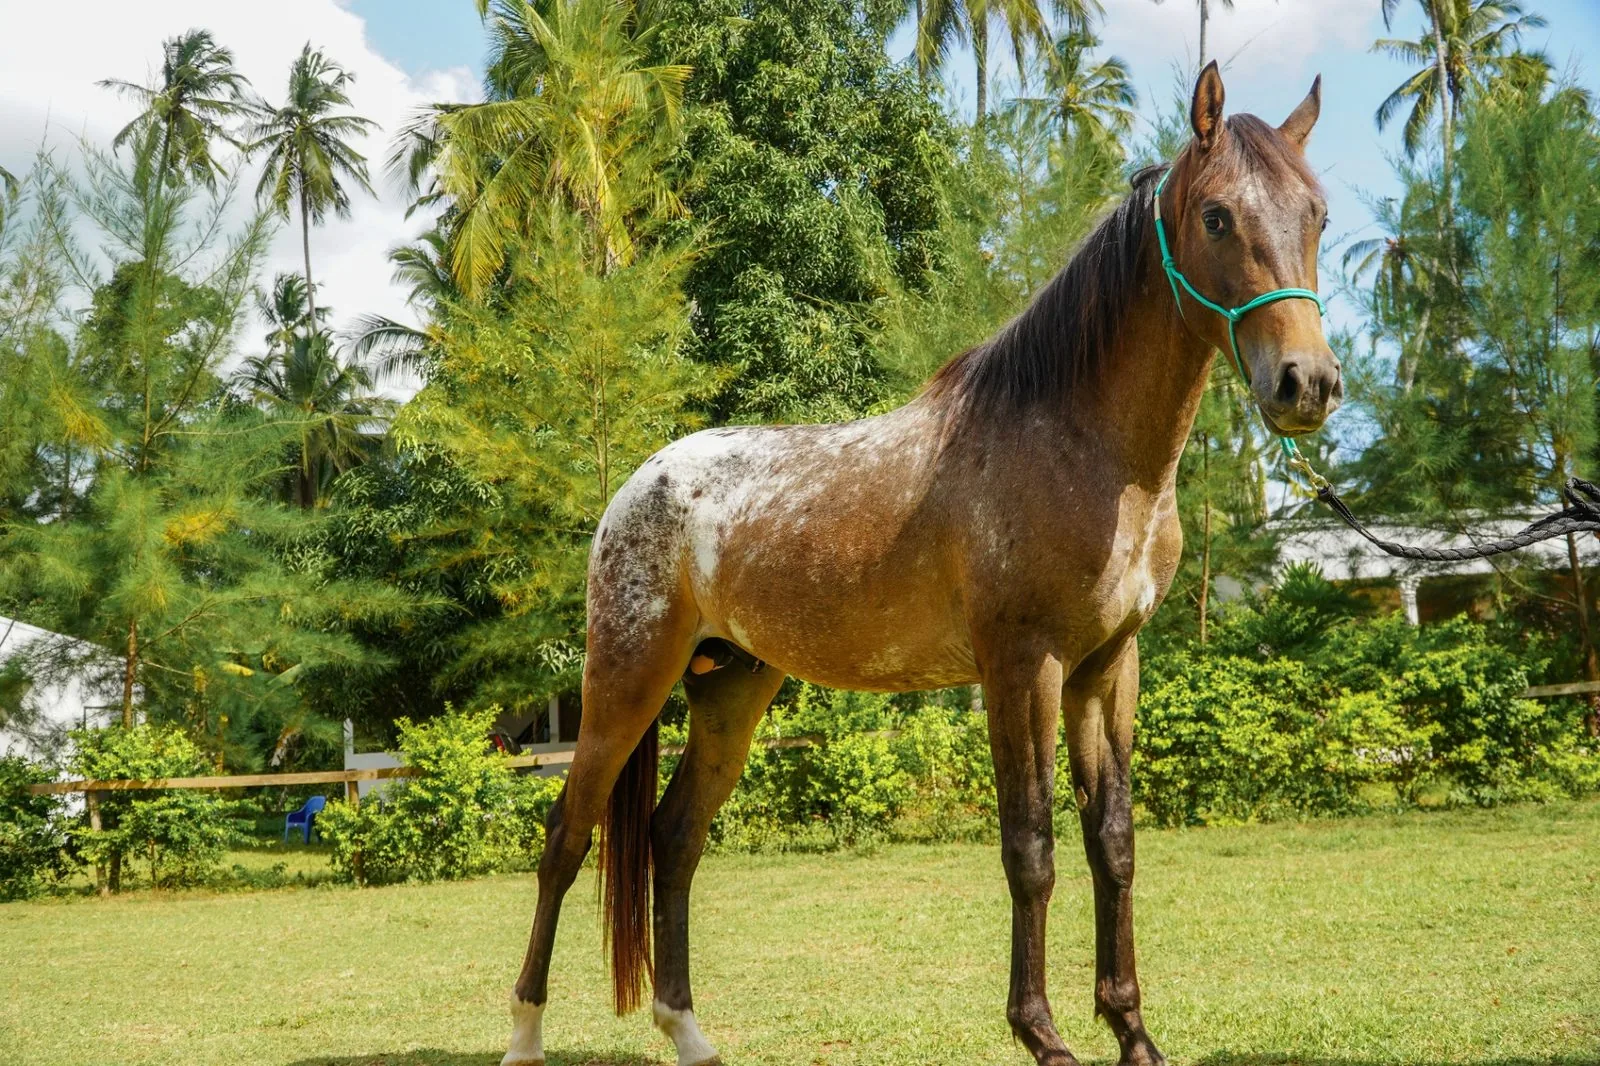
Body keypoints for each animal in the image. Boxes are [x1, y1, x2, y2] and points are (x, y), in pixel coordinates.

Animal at [501, 62, 1341, 1066]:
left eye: (1317, 214)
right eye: (1216, 215)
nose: (1306, 384)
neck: (1080, 444)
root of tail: (639, 485)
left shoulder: (1107, 668)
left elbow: (1113, 843)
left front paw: (1132, 1032)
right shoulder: (1022, 667)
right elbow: (1031, 847)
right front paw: (1043, 1035)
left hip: (732, 693)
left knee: (674, 838)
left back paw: (690, 1033)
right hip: (624, 681)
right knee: (565, 837)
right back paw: (523, 1034)